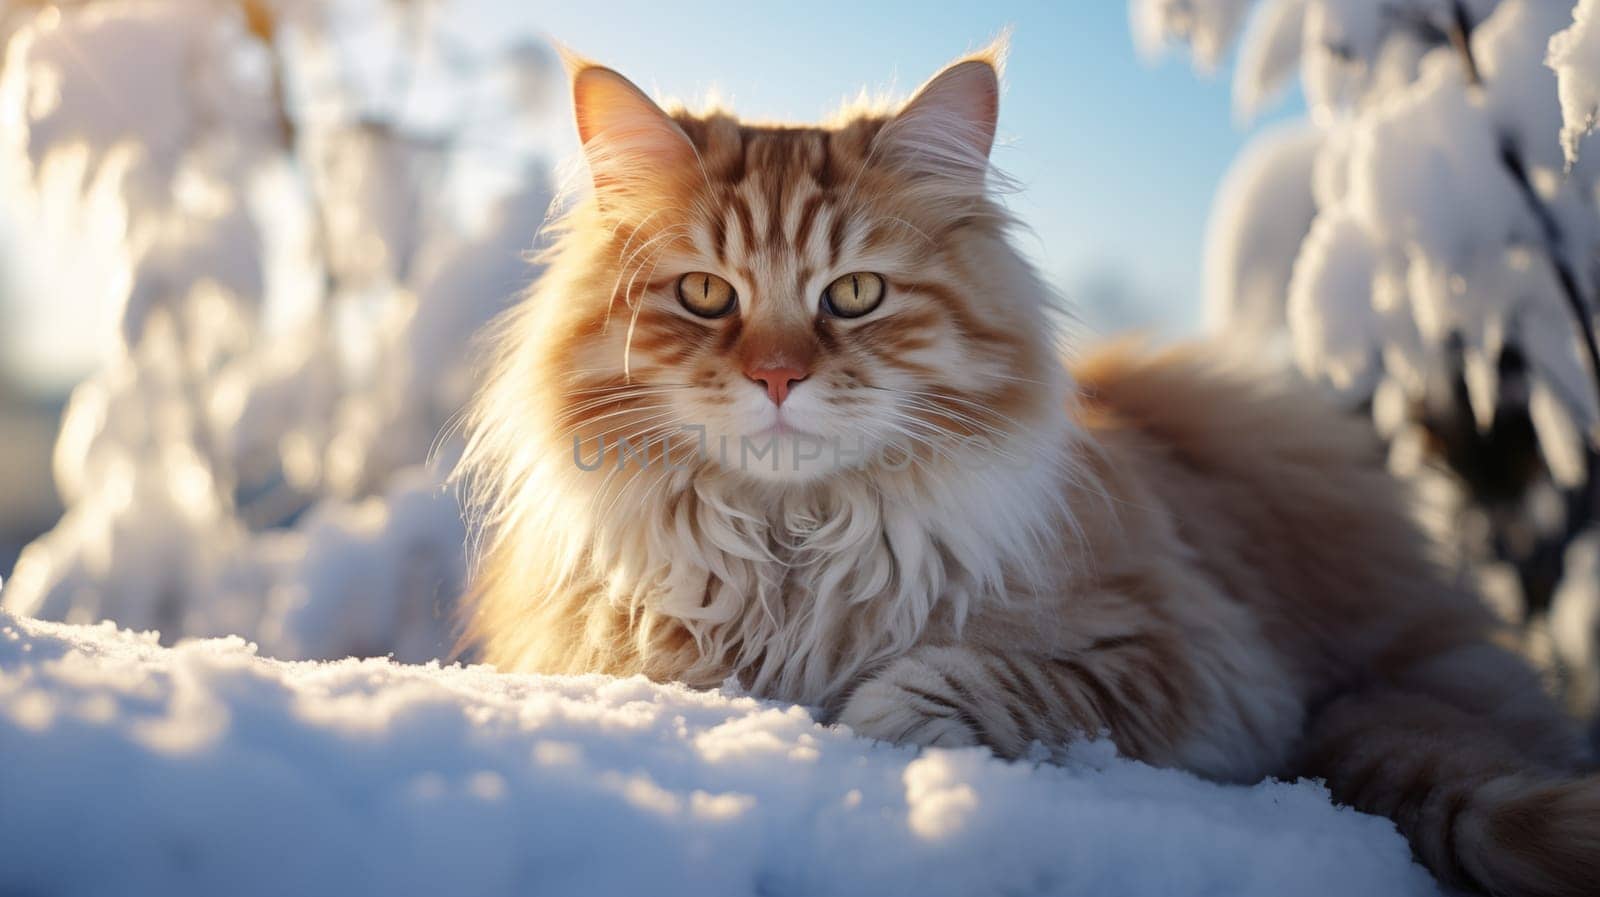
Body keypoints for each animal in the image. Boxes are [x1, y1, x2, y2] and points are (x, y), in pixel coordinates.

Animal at [454, 40, 1600, 889]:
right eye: (703, 295)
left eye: (855, 295)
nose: (777, 376)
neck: (796, 548)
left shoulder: (1193, 659)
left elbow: (974, 679)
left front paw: (863, 726)